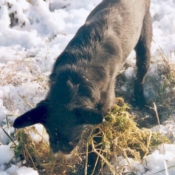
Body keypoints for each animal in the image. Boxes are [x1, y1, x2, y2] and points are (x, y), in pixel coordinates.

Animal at [13, 0, 152, 153]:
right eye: (50, 132)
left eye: (72, 135)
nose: (60, 150)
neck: (76, 77)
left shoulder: (106, 105)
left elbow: (98, 132)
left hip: (144, 42)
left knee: (141, 74)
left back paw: (140, 99)